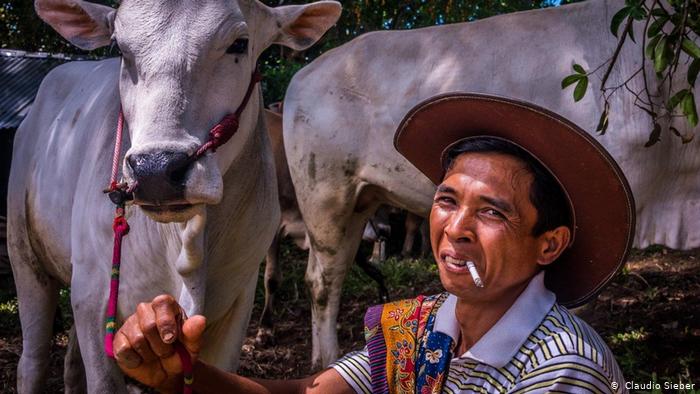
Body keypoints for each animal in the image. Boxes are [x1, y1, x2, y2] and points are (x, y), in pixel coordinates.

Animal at [8, 0, 340, 390]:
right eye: (120, 49)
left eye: (240, 44)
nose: (156, 171)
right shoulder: (91, 297)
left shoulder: (239, 303)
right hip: (24, 256)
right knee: (32, 361)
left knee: (71, 363)